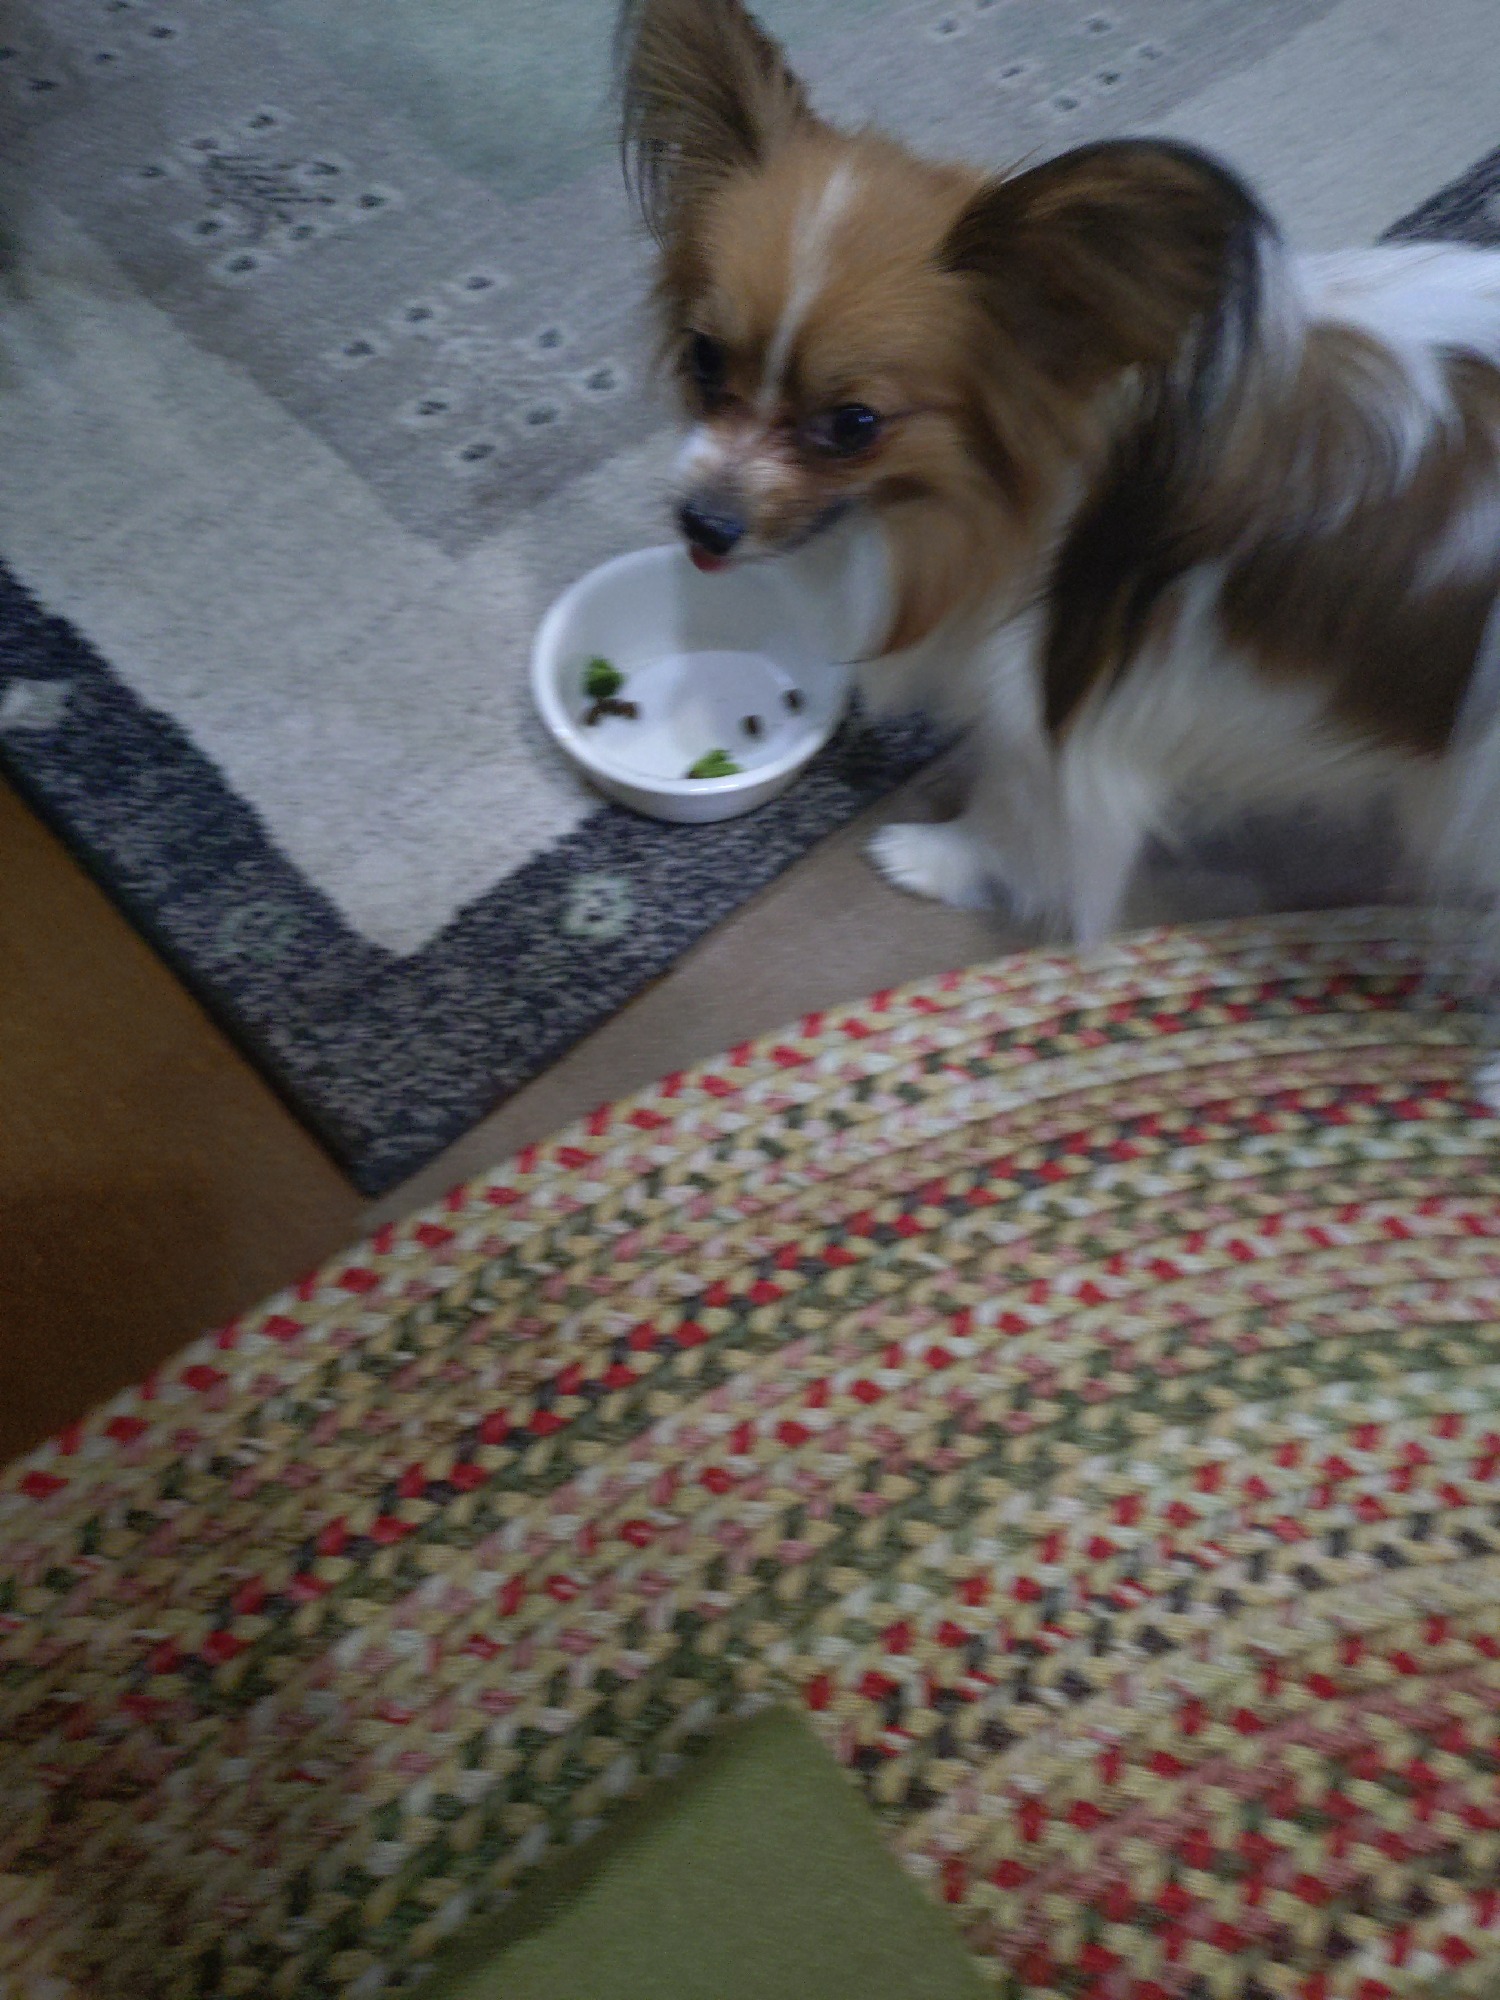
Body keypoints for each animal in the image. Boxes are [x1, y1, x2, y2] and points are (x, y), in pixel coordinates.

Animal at [616, 0, 1500, 1043]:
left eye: (855, 424)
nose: (703, 524)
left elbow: (1018, 803)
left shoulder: (1055, 704)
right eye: (706, 359)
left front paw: (943, 859)